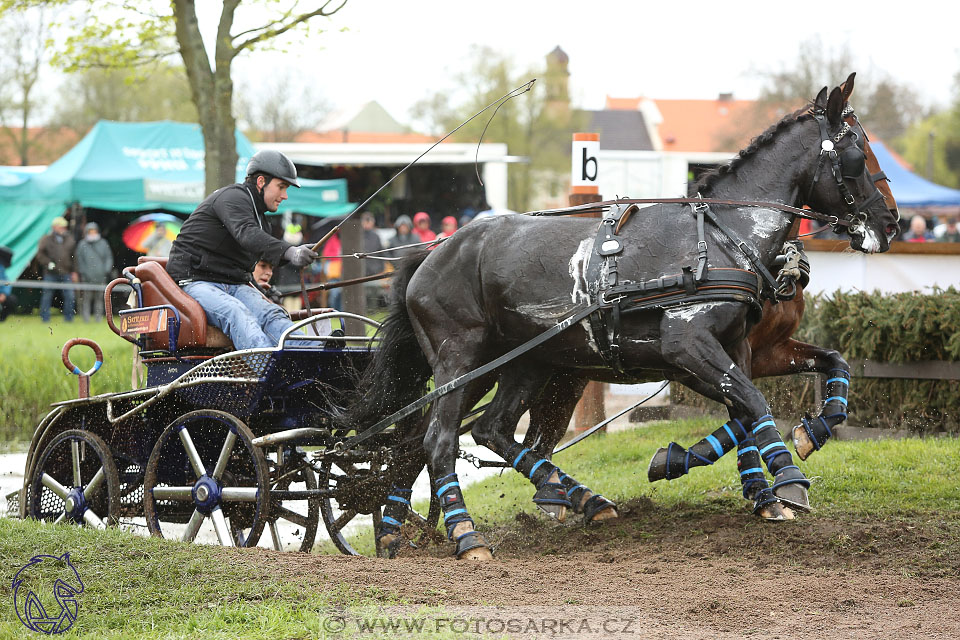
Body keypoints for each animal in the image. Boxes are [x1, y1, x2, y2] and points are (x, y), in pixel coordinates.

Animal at [346, 76, 900, 560]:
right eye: (857, 151)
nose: (890, 221)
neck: (722, 234)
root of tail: (430, 255)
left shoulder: (738, 349)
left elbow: (765, 400)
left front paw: (774, 467)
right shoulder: (686, 347)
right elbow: (752, 404)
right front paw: (786, 481)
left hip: (521, 363)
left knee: (480, 431)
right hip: (462, 360)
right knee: (438, 439)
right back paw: (465, 534)